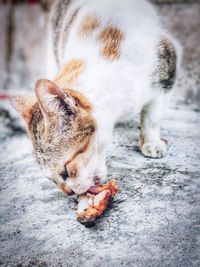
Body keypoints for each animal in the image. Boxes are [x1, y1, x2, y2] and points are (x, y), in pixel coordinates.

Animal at [9, 0, 178, 196]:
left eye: (65, 171)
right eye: (50, 179)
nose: (69, 193)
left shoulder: (166, 67)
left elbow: (152, 117)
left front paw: (151, 142)